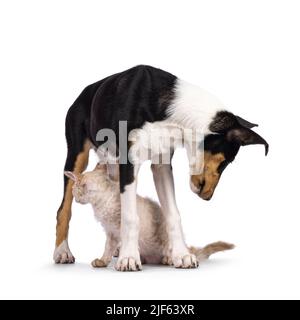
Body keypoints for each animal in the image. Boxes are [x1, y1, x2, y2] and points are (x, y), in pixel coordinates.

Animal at [65, 165, 234, 270]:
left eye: (75, 190)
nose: (75, 199)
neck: (101, 204)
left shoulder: (123, 226)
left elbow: (128, 240)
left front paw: (126, 259)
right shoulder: (111, 232)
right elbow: (107, 248)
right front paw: (103, 261)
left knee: (171, 249)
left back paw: (169, 259)